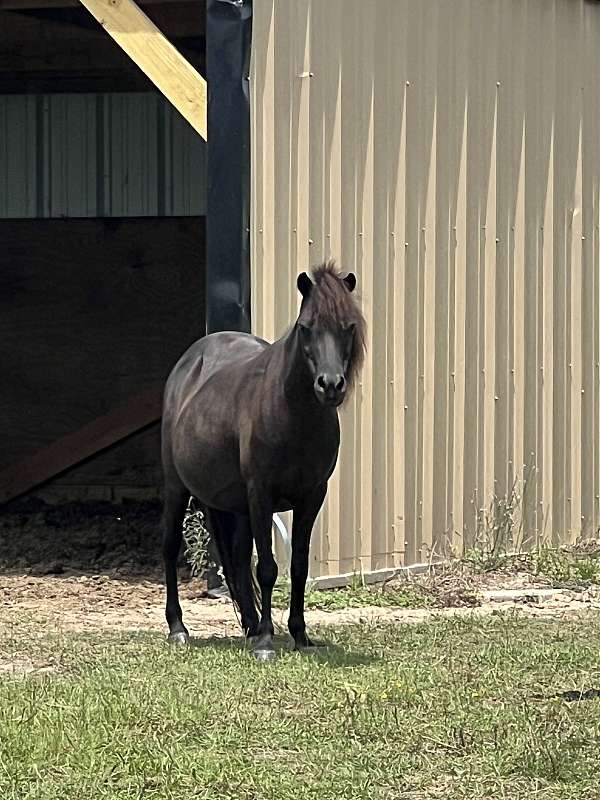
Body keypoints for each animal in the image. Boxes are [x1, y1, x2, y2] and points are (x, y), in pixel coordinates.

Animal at [162, 260, 366, 660]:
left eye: (349, 326)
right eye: (306, 327)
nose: (331, 386)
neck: (293, 415)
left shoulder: (311, 496)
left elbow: (298, 566)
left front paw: (300, 635)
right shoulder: (261, 494)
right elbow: (269, 568)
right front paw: (267, 643)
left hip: (236, 506)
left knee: (239, 563)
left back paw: (250, 625)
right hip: (178, 489)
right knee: (170, 547)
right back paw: (179, 628)